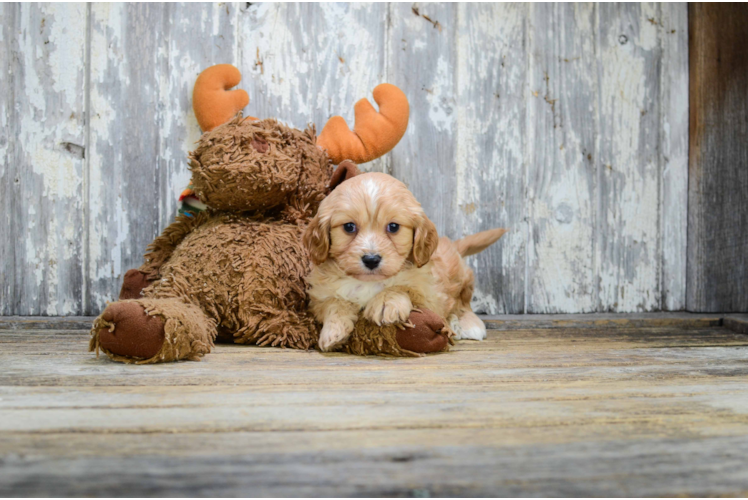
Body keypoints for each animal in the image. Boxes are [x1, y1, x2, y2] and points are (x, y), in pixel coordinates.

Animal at [304, 172, 508, 352]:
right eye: (348, 227)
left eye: (393, 227)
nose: (371, 259)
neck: (369, 282)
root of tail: (450, 244)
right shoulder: (319, 297)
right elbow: (334, 303)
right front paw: (333, 332)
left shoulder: (430, 296)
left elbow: (403, 287)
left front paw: (385, 302)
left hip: (461, 278)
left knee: (462, 303)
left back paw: (466, 324)